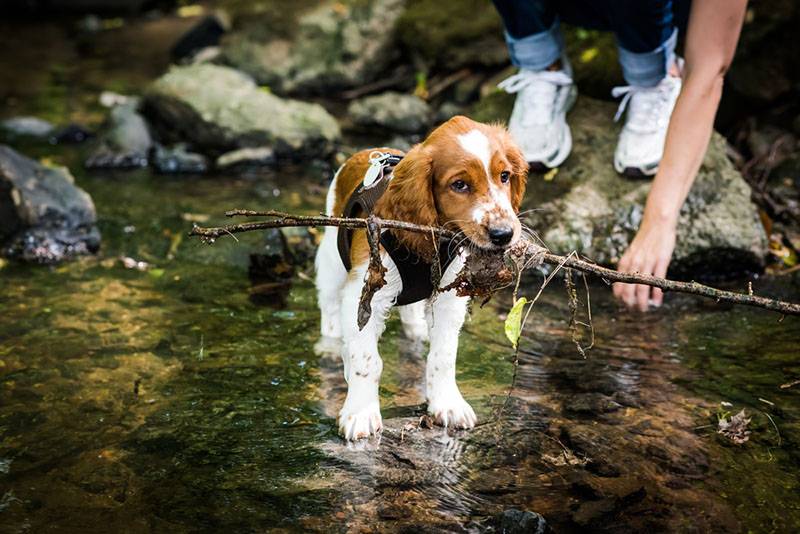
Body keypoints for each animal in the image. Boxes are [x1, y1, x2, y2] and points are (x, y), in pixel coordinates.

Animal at [316, 115, 528, 442]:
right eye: (459, 184)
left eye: (505, 176)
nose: (503, 234)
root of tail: (364, 153)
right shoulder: (364, 295)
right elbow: (366, 359)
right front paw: (361, 413)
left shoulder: (448, 296)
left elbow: (443, 355)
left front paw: (448, 404)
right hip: (331, 263)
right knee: (328, 307)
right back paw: (329, 344)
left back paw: (417, 328)